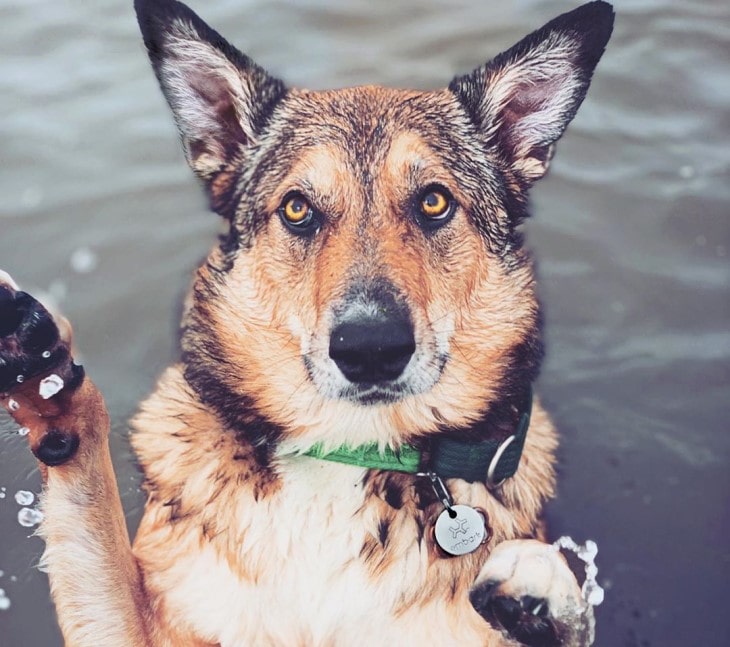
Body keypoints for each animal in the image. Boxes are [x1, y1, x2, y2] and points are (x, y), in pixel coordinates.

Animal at [0, 1, 612, 644]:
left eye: (434, 201)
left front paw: (543, 590)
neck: (347, 451)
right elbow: (91, 508)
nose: (371, 349)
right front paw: (45, 387)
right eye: (298, 208)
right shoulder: (135, 629)